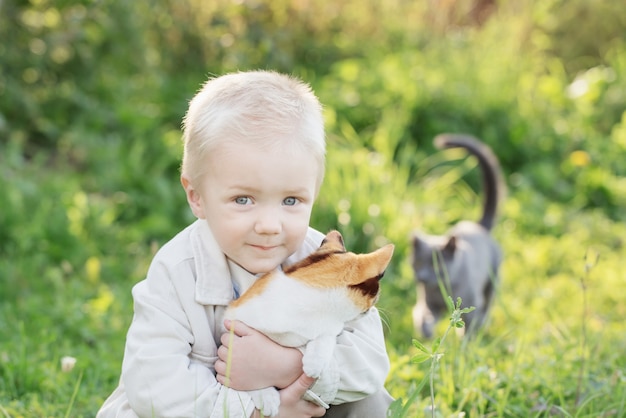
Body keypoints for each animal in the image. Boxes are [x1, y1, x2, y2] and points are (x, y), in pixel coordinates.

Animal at [410, 134, 502, 336]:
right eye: (418, 263)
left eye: (437, 266)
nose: (422, 277)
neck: (442, 289)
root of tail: (478, 226)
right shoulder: (429, 302)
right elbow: (423, 314)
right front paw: (426, 330)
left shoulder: (471, 305)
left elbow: (469, 327)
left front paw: (467, 342)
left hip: (493, 280)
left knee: (487, 306)